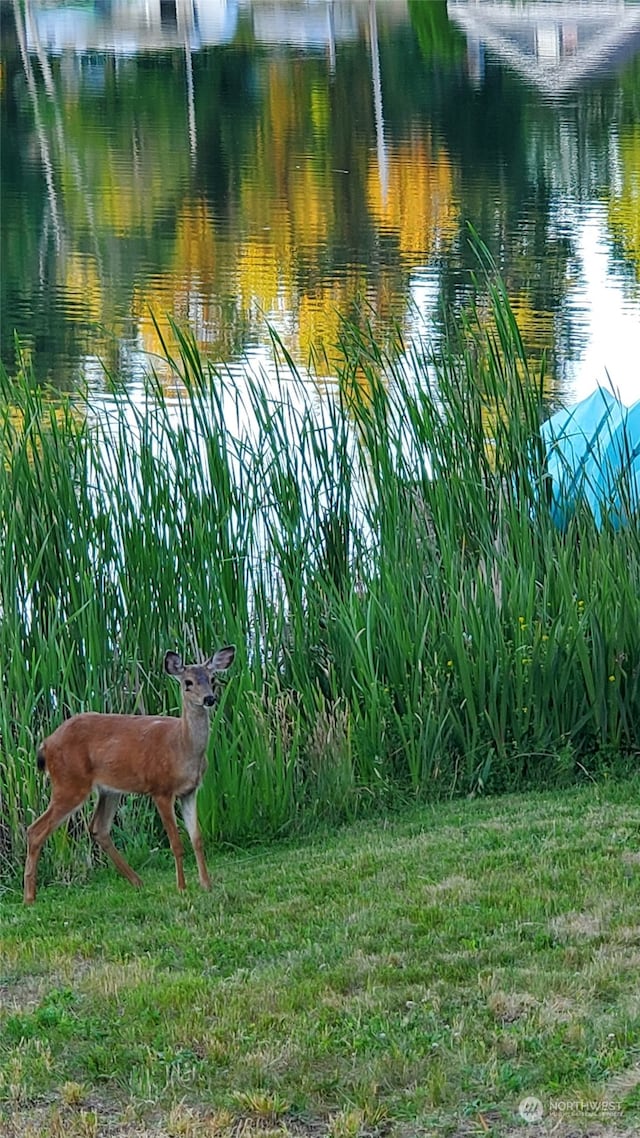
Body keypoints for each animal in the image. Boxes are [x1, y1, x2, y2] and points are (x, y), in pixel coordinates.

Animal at [24, 646, 236, 901]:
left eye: (212, 679)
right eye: (188, 682)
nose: (209, 699)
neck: (181, 746)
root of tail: (45, 744)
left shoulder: (190, 791)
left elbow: (197, 838)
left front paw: (207, 884)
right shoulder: (160, 788)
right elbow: (176, 842)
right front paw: (182, 887)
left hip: (109, 790)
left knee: (98, 827)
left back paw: (137, 881)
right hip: (70, 782)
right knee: (35, 830)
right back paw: (29, 898)